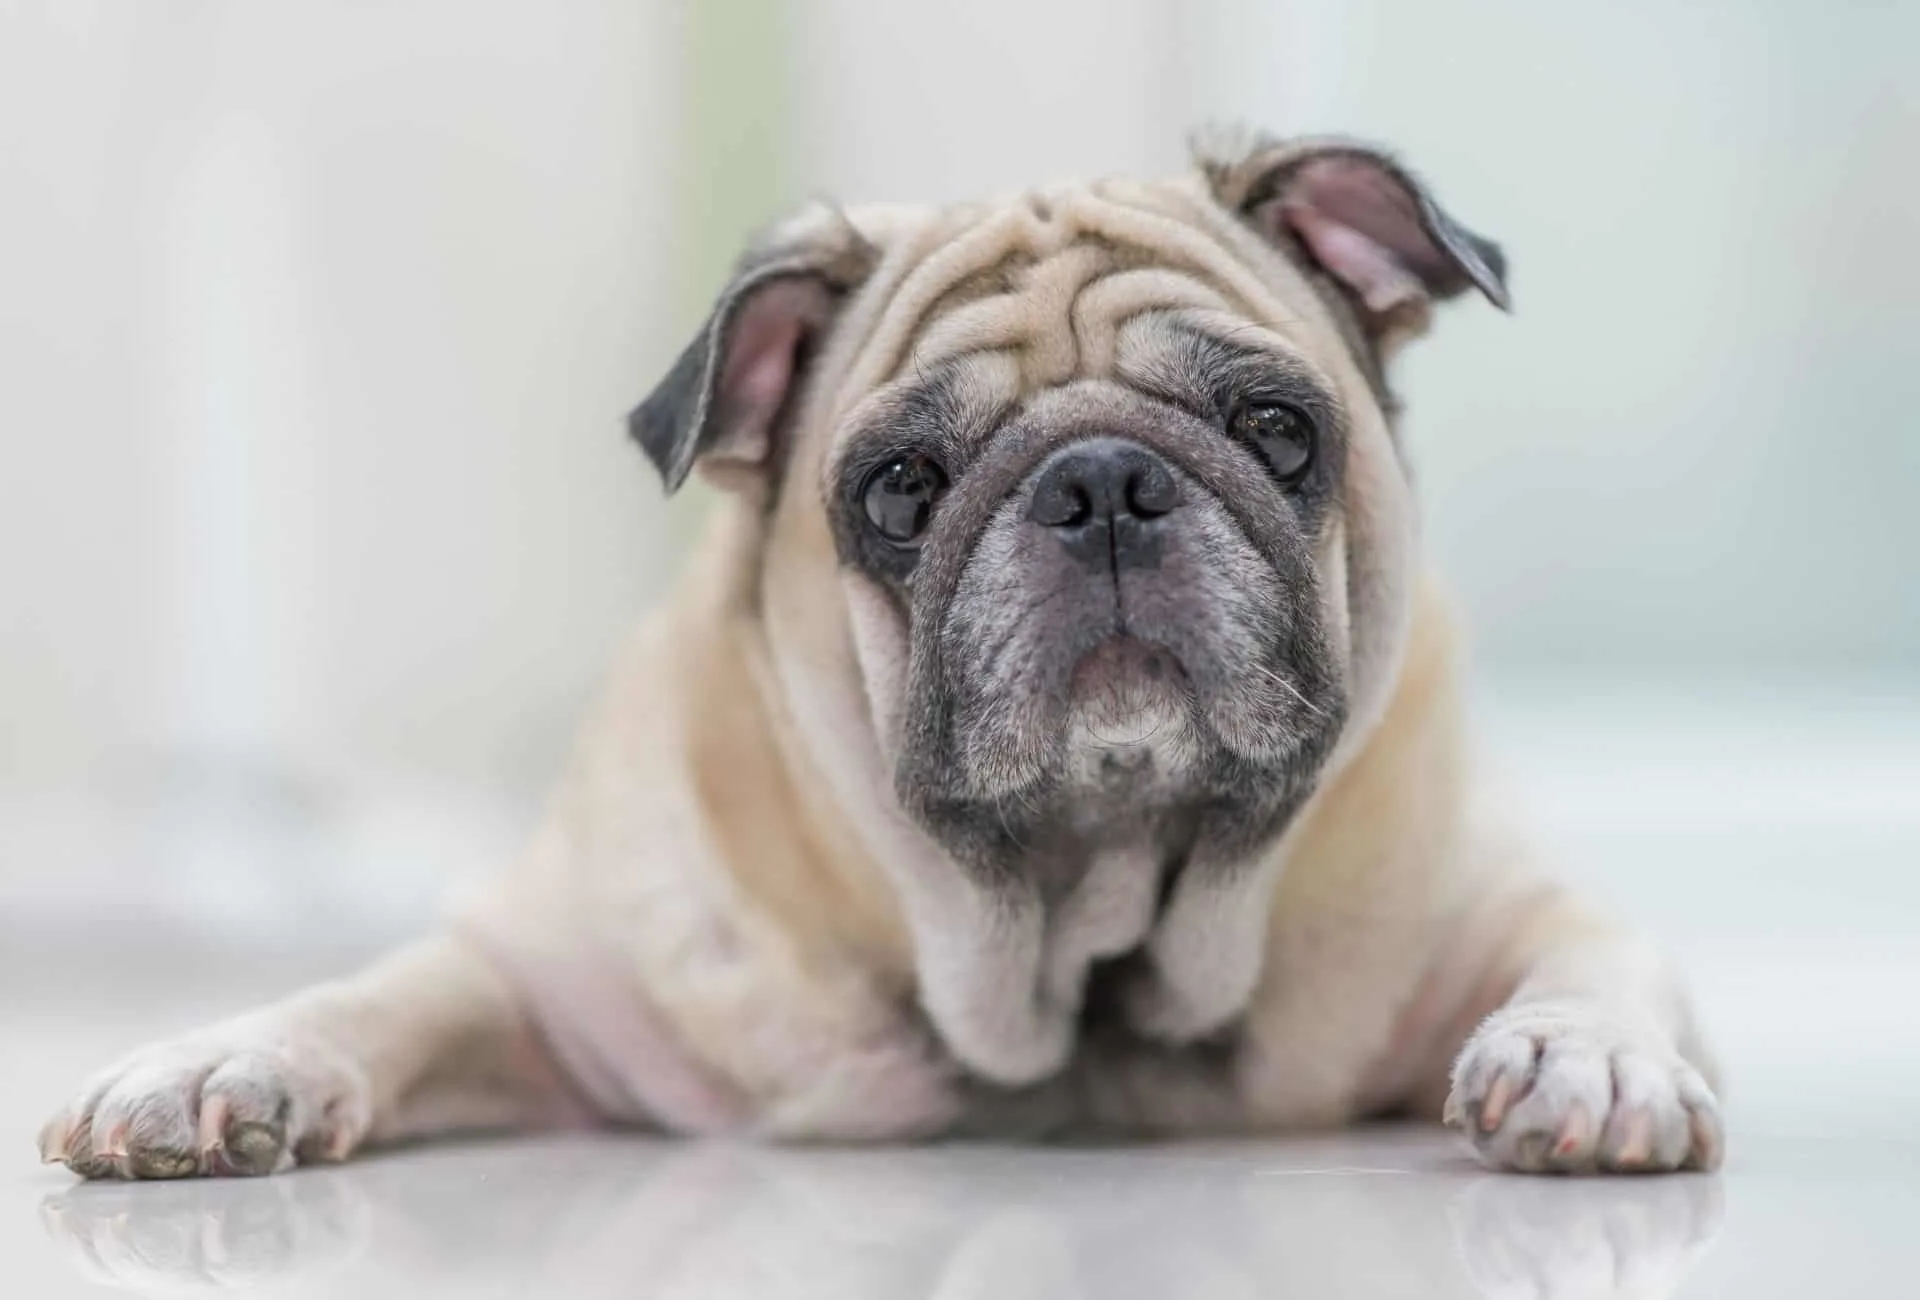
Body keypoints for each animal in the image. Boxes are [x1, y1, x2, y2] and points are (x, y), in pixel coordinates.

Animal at [37, 131, 1720, 1175]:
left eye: (1276, 429)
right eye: (901, 491)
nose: (1101, 483)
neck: (1074, 940)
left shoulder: (1498, 905)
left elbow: (1593, 954)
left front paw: (1583, 1058)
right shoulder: (546, 985)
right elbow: (378, 997)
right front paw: (220, 1068)